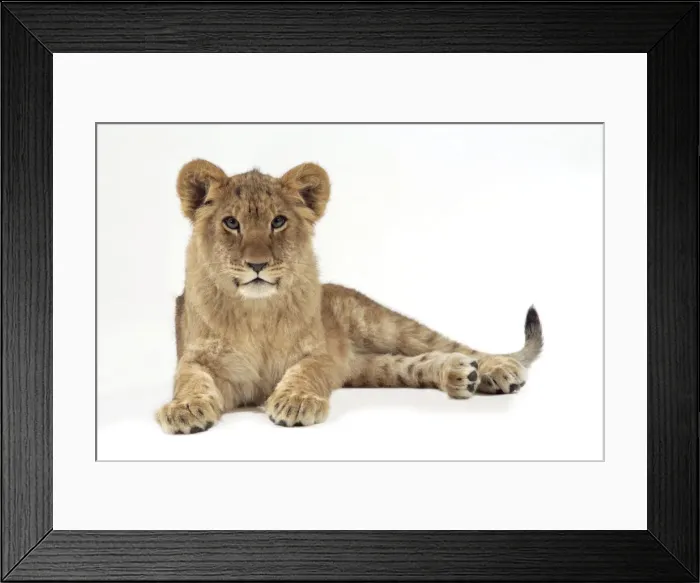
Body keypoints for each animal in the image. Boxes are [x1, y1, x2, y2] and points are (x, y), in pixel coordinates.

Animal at [156, 160, 543, 433]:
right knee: (410, 365)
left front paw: (296, 401)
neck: (257, 312)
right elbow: (189, 380)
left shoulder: (320, 354)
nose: (257, 264)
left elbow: (304, 372)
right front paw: (185, 409)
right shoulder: (198, 359)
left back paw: (497, 369)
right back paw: (461, 375)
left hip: (381, 325)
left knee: (451, 345)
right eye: (231, 223)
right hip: (370, 368)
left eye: (278, 221)